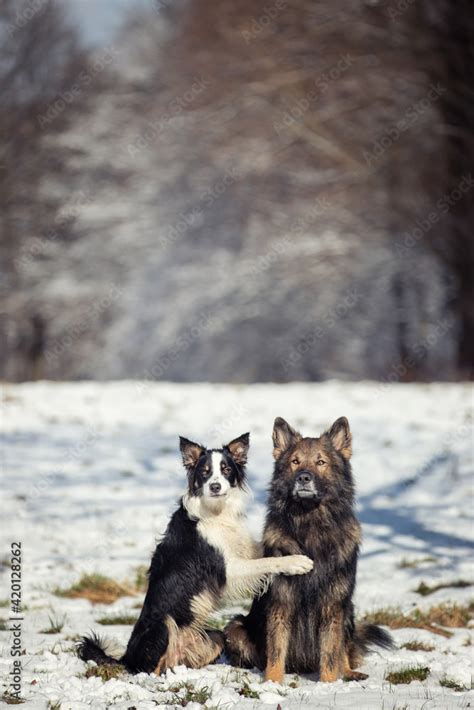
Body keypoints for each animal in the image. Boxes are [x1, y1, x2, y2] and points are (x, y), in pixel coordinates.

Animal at [79, 434, 312, 672]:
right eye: (205, 472)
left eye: (226, 469)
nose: (215, 487)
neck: (216, 512)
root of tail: (126, 657)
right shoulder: (228, 571)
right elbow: (268, 562)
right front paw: (297, 562)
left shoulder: (244, 551)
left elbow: (265, 552)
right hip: (164, 624)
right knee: (148, 668)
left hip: (215, 637)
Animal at [225, 418, 392, 684]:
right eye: (295, 462)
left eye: (320, 462)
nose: (304, 477)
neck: (310, 524)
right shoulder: (281, 602)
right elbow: (276, 650)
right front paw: (272, 683)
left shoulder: (333, 604)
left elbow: (331, 652)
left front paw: (329, 684)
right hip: (236, 628)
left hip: (348, 612)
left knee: (344, 649)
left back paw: (349, 673)